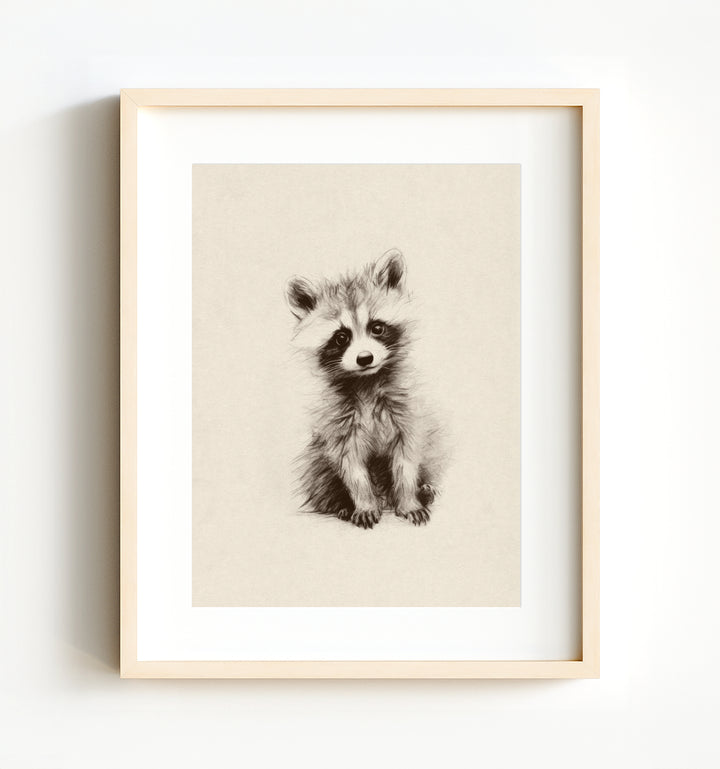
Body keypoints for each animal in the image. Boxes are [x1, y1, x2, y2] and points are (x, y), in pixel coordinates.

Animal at [286, 248, 442, 529]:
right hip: (315, 460)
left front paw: (408, 500)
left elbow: (406, 458)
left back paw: (421, 491)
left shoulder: (404, 410)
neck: (367, 381)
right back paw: (341, 504)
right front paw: (364, 503)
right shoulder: (338, 420)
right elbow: (351, 464)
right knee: (320, 474)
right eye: (341, 337)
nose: (365, 358)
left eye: (377, 327)